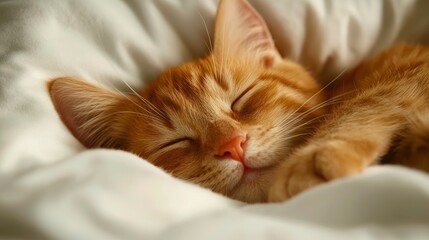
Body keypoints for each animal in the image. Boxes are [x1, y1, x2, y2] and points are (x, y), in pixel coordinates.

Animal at [47, 0, 428, 204]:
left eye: (241, 100)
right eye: (176, 142)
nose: (233, 145)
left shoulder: (407, 73)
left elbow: (361, 105)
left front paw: (313, 159)